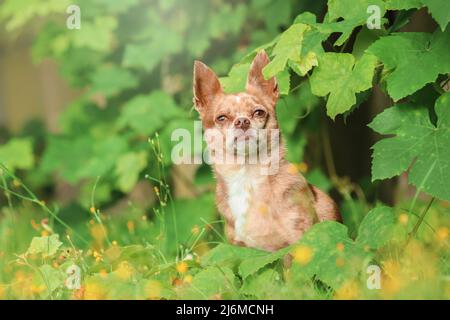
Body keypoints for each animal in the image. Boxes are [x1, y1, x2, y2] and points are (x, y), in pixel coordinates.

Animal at [193, 50, 342, 251]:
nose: (242, 121)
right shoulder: (239, 248)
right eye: (221, 118)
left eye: (258, 112)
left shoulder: (298, 240)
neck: (248, 175)